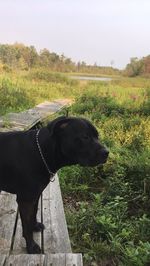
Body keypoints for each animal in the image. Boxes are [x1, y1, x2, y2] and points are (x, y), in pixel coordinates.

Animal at [0, 116, 108, 254]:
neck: (42, 151)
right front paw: (31, 246)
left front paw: (35, 226)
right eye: (85, 137)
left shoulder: (35, 195)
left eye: (97, 136)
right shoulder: (26, 199)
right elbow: (26, 225)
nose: (106, 152)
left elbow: (33, 214)